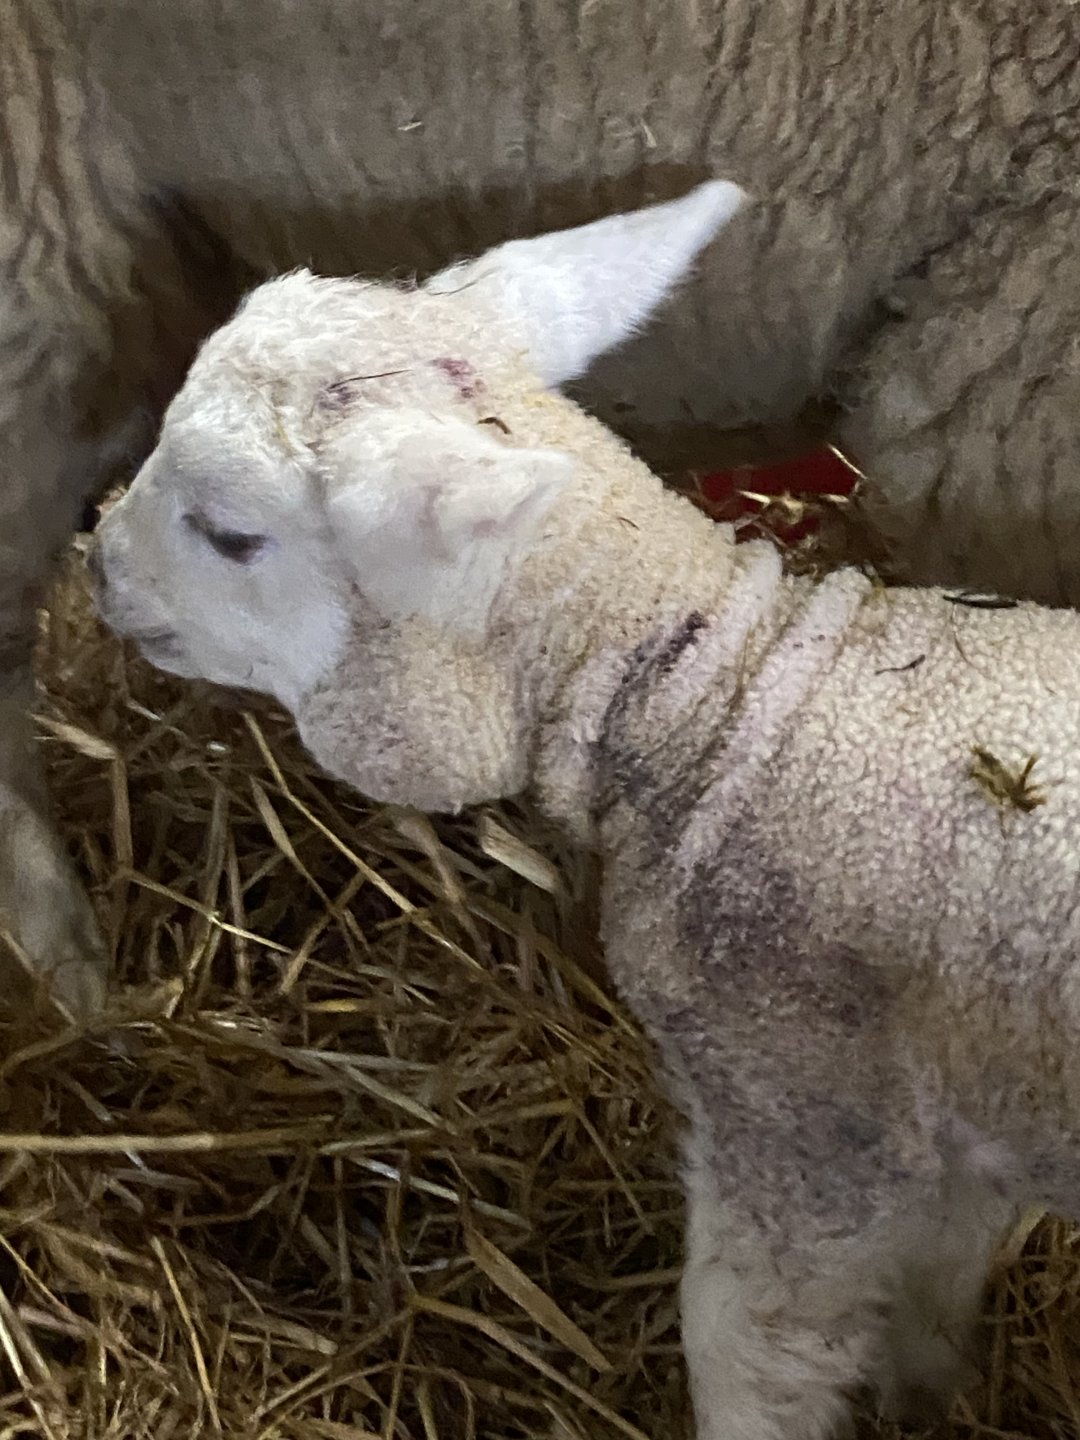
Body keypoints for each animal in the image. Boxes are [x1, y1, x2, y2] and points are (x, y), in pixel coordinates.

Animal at [89, 180, 1080, 1439]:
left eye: (232, 534)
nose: (96, 563)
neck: (715, 694)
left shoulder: (802, 1123)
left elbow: (748, 1352)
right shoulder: (956, 1128)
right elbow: (940, 1282)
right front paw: (932, 1395)